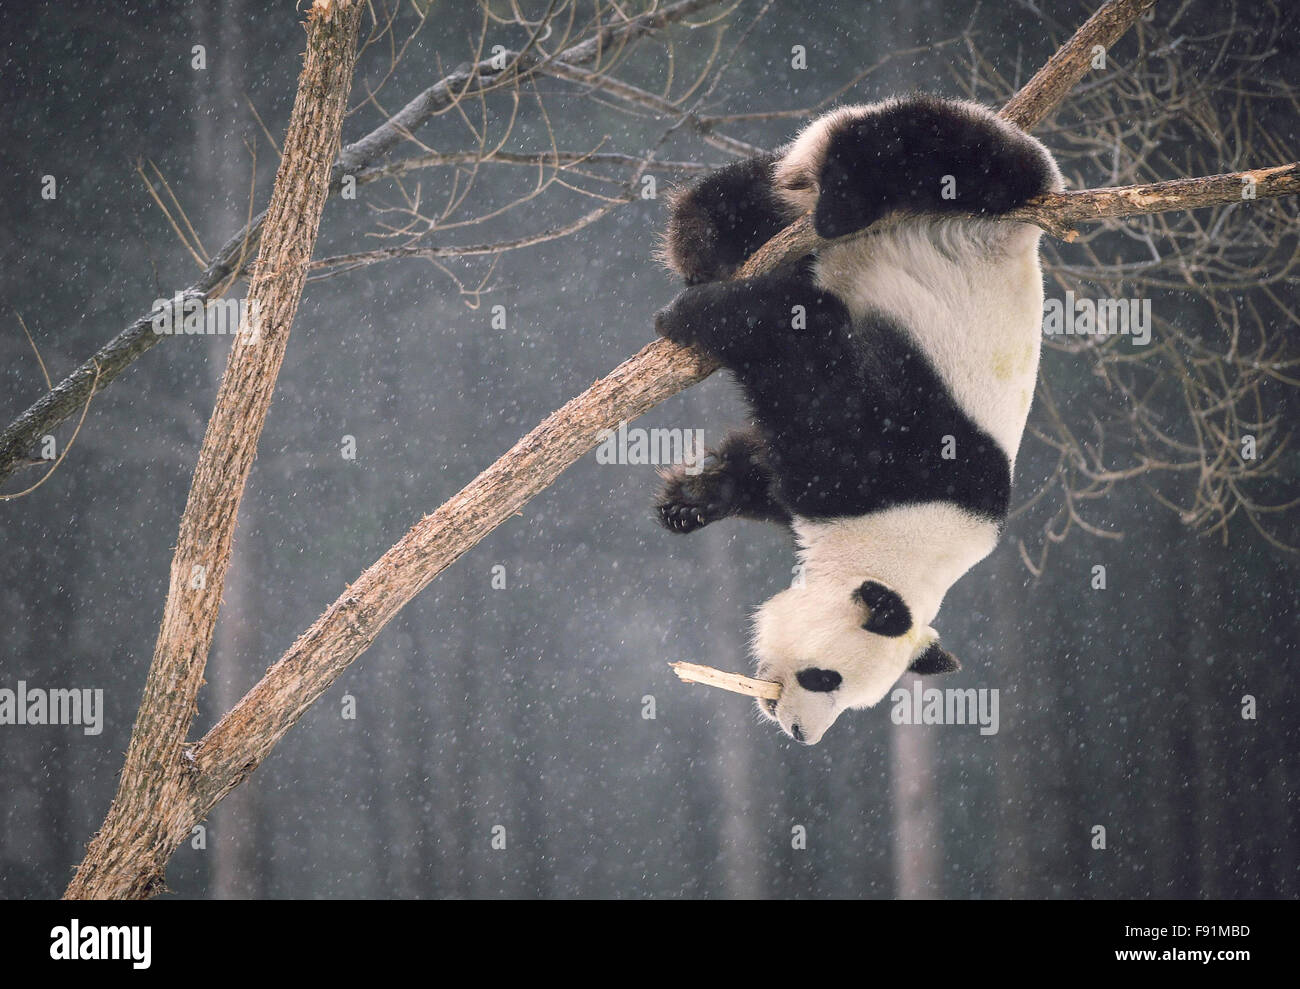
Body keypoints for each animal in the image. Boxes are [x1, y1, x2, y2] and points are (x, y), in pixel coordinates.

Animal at [655, 94, 1060, 738]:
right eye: (826, 678)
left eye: (849, 701)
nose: (802, 733)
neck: (906, 535)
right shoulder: (903, 450)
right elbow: (808, 359)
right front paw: (697, 316)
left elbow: (771, 471)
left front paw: (695, 499)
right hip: (991, 188)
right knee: (937, 144)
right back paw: (819, 207)